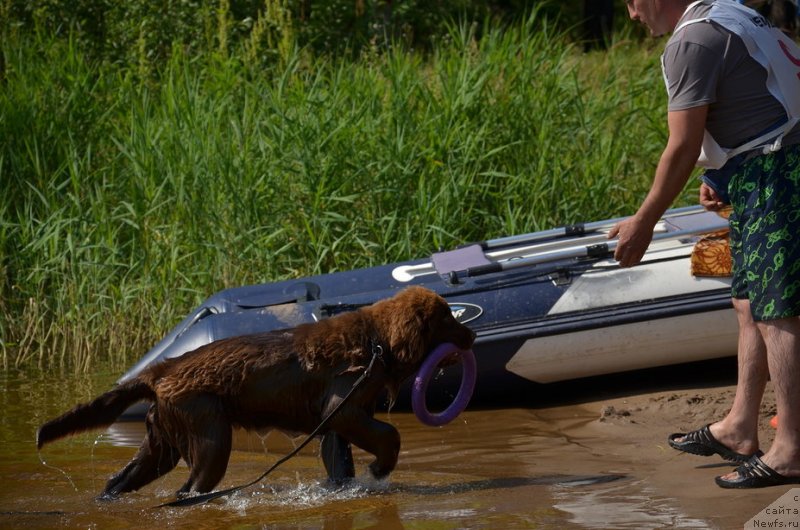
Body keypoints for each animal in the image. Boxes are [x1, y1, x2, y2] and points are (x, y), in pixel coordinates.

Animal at [37, 284, 476, 496]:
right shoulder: (344, 407)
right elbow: (390, 434)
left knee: (119, 481)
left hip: (161, 443)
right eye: (447, 319)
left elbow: (340, 463)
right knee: (189, 490)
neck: (375, 342)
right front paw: (381, 469)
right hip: (211, 438)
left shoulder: (337, 421)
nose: (471, 335)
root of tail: (165, 367)